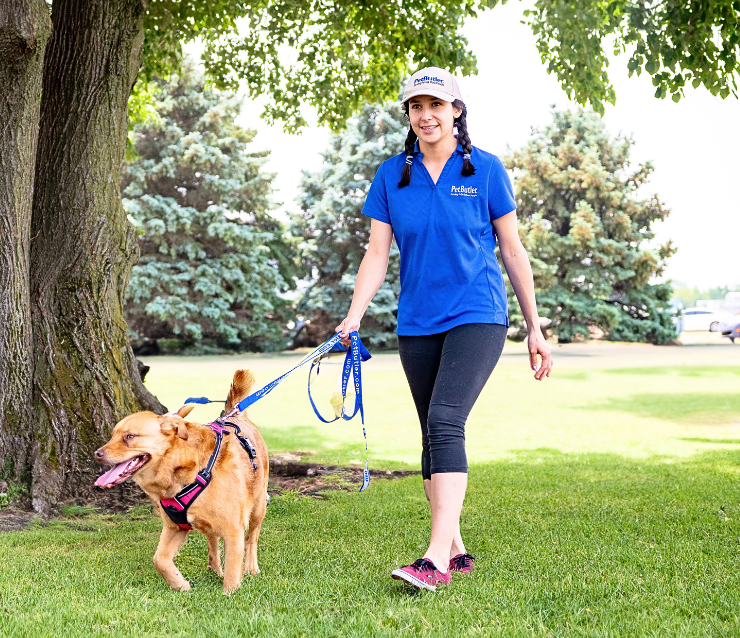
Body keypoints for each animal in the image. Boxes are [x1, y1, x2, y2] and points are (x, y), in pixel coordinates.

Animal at [94, 370, 268, 596]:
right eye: (113, 435)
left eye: (130, 436)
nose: (97, 454)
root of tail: (235, 415)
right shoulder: (174, 527)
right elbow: (159, 560)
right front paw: (180, 584)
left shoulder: (233, 530)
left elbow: (232, 571)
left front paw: (229, 595)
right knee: (212, 541)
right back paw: (214, 568)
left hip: (258, 508)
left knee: (251, 538)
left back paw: (250, 568)